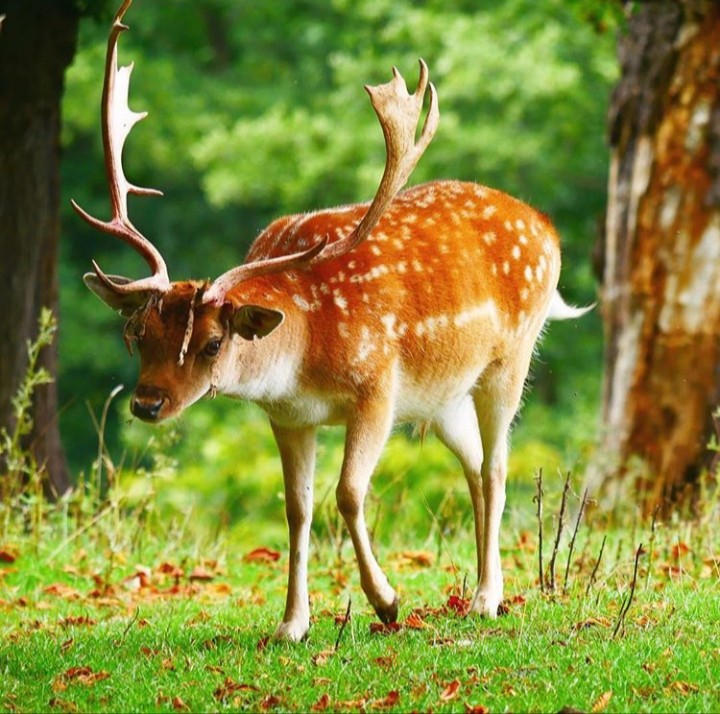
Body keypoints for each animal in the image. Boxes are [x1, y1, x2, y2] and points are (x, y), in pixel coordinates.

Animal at [74, 0, 591, 642]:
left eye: (213, 343)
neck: (303, 354)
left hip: (508, 360)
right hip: (443, 397)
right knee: (474, 467)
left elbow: (346, 493)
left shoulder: (377, 387)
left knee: (497, 468)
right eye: (139, 335)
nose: (146, 404)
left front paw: (386, 601)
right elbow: (296, 508)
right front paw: (292, 625)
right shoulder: (289, 416)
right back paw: (477, 588)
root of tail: (548, 229)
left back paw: (486, 599)